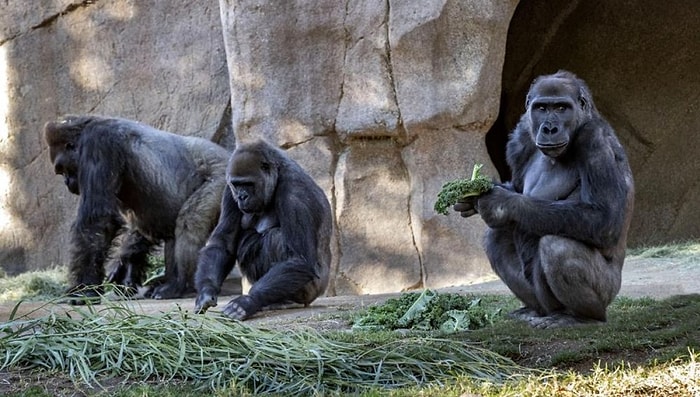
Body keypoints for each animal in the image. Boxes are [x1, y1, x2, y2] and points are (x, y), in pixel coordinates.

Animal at [43, 114, 230, 304]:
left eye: (62, 168)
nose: (67, 182)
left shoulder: (99, 143)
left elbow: (97, 220)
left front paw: (84, 288)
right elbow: (139, 225)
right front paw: (125, 265)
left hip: (222, 177)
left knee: (189, 222)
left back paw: (179, 284)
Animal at [193, 139, 332, 318]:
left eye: (248, 184)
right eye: (237, 185)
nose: (242, 196)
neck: (278, 174)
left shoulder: (295, 193)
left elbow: (298, 259)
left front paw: (247, 301)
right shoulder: (229, 191)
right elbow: (223, 244)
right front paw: (206, 292)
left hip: (312, 292)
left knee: (275, 238)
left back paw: (287, 301)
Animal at [454, 70, 636, 328]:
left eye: (561, 107)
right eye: (541, 108)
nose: (549, 128)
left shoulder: (595, 138)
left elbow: (604, 217)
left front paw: (500, 204)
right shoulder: (521, 137)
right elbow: (516, 187)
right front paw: (473, 195)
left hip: (609, 291)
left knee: (557, 246)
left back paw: (582, 317)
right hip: (542, 301)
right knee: (496, 238)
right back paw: (534, 310)